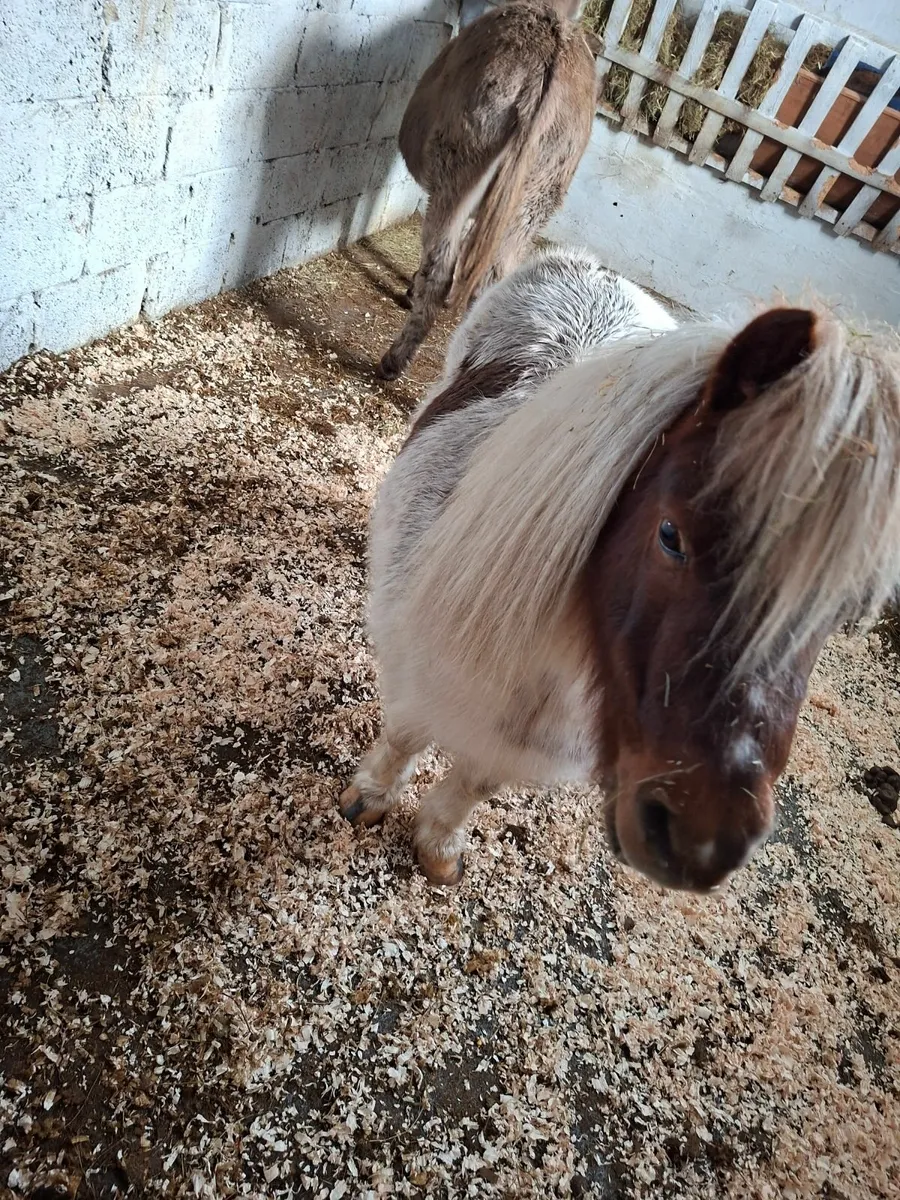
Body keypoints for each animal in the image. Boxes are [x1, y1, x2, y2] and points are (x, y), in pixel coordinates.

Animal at [341, 246, 900, 891]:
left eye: (847, 610)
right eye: (670, 535)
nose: (703, 840)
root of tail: (585, 264)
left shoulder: (527, 743)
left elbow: (475, 783)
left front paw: (438, 844)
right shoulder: (418, 669)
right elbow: (406, 735)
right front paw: (369, 798)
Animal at [376, 0, 599, 381]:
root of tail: (551, 45)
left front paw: (410, 289)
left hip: (458, 168)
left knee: (440, 264)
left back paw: (394, 359)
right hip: (535, 194)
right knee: (494, 279)